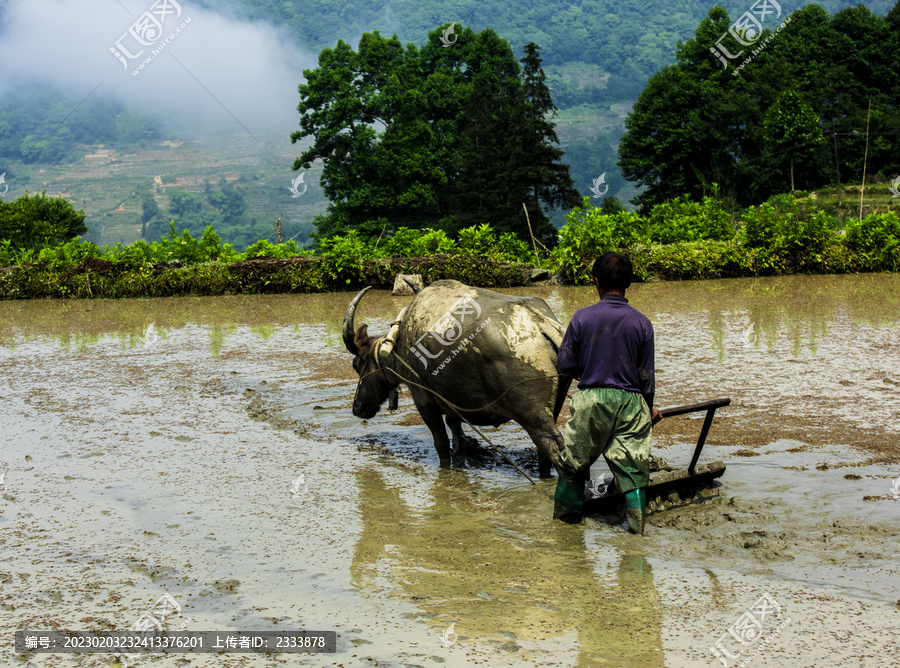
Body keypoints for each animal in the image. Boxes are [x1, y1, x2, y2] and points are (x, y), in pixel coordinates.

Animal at [342, 280, 572, 478]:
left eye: (356, 365)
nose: (357, 407)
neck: (397, 345)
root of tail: (541, 323)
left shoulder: (423, 399)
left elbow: (442, 443)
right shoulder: (453, 403)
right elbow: (457, 435)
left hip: (534, 415)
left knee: (554, 450)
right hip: (555, 403)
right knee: (545, 456)